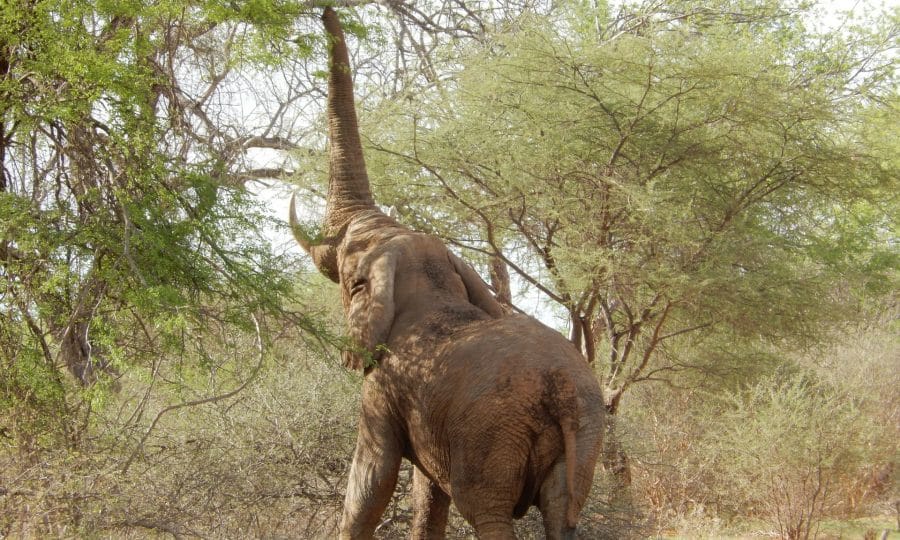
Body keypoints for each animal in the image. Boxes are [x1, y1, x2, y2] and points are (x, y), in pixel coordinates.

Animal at [289, 8, 606, 539]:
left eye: (353, 281)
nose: (322, 13)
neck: (428, 283)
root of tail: (563, 388)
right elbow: (426, 494)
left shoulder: (384, 389)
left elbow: (372, 480)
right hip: (584, 436)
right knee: (563, 512)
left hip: (491, 433)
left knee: (486, 510)